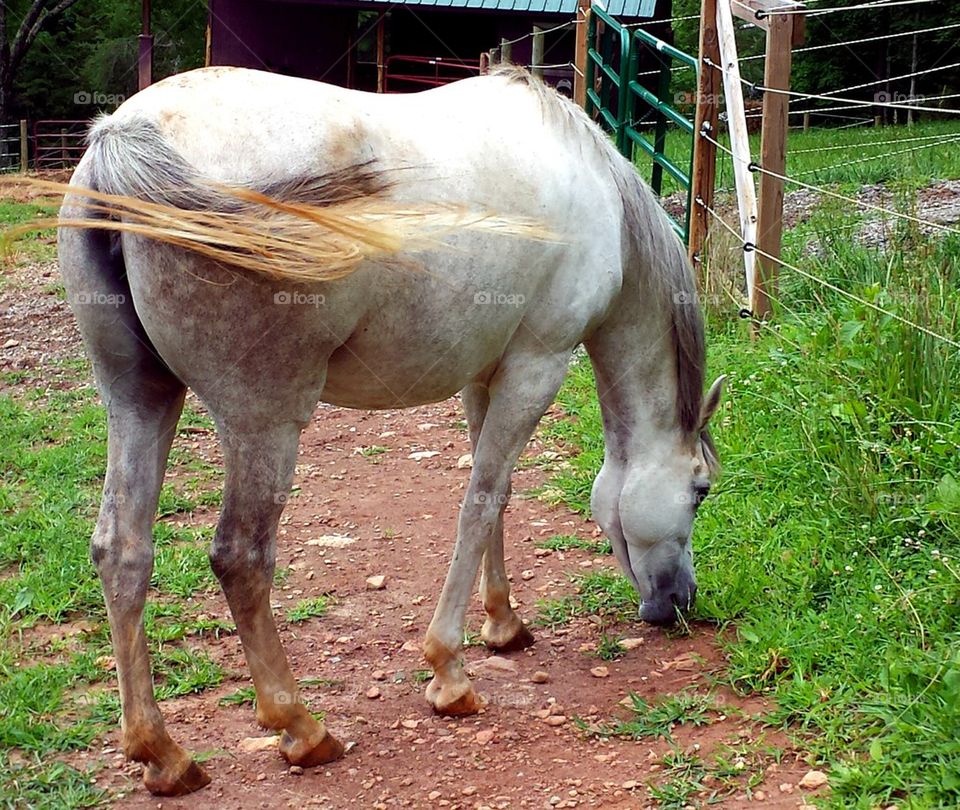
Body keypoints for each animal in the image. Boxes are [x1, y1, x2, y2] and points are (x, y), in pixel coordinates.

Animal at [55, 65, 723, 796]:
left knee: (122, 551)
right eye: (701, 491)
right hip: (264, 422)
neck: (596, 187)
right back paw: (302, 728)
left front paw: (504, 624)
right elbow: (480, 503)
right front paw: (450, 673)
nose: (680, 602)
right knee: (240, 558)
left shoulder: (485, 375)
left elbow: (497, 498)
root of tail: (124, 136)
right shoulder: (536, 367)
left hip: (139, 400)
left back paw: (163, 754)